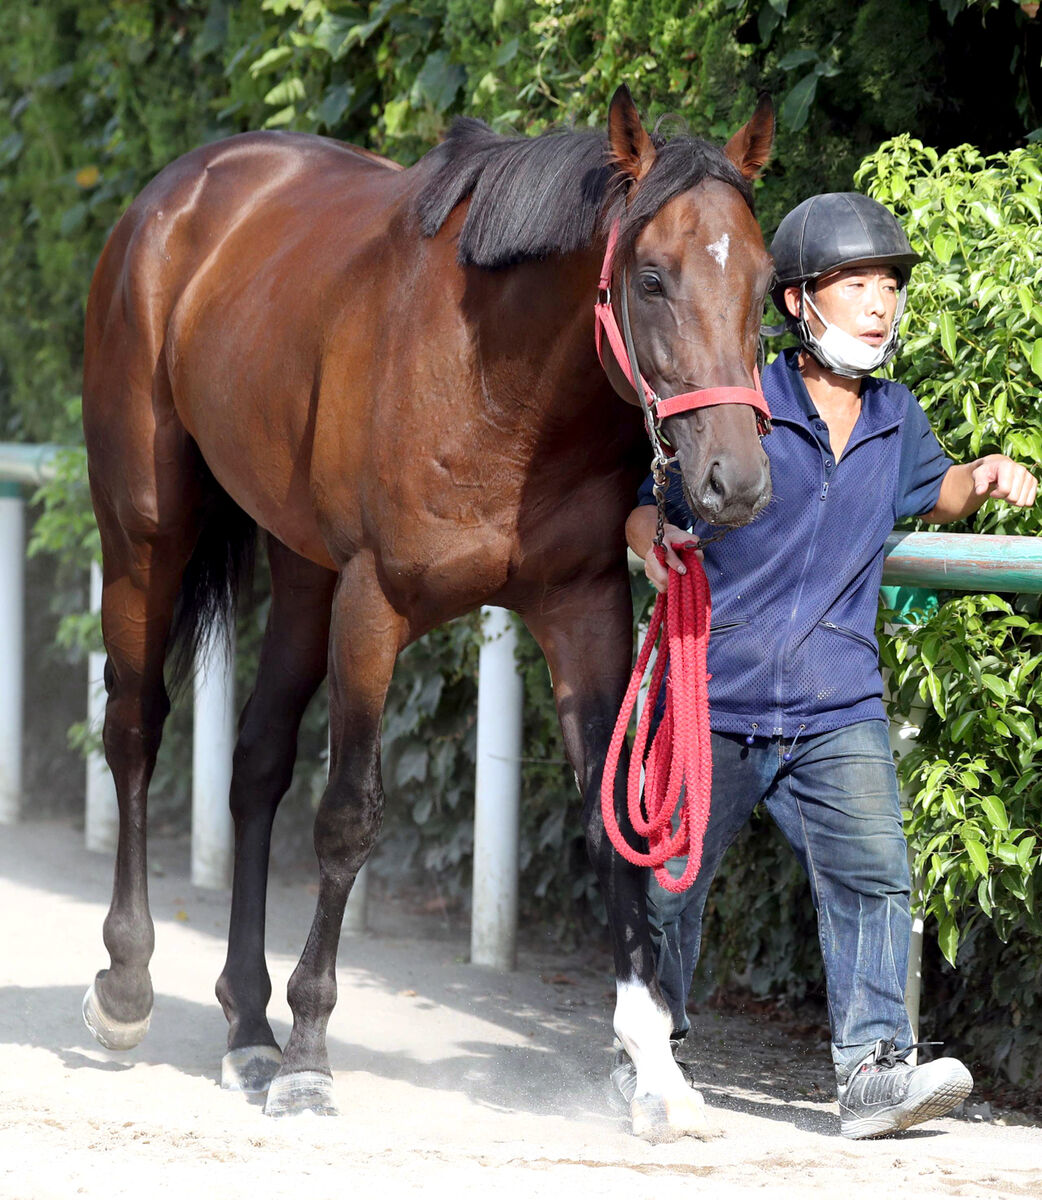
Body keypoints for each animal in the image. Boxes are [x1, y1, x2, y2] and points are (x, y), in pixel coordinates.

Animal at [79, 87, 773, 1142]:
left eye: (768, 283)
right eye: (651, 278)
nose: (734, 481)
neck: (500, 387)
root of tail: (170, 198)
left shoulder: (583, 610)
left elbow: (610, 817)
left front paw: (655, 1070)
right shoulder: (374, 608)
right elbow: (347, 819)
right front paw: (311, 1058)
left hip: (301, 570)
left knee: (256, 763)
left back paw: (246, 1027)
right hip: (144, 534)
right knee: (133, 729)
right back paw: (128, 984)